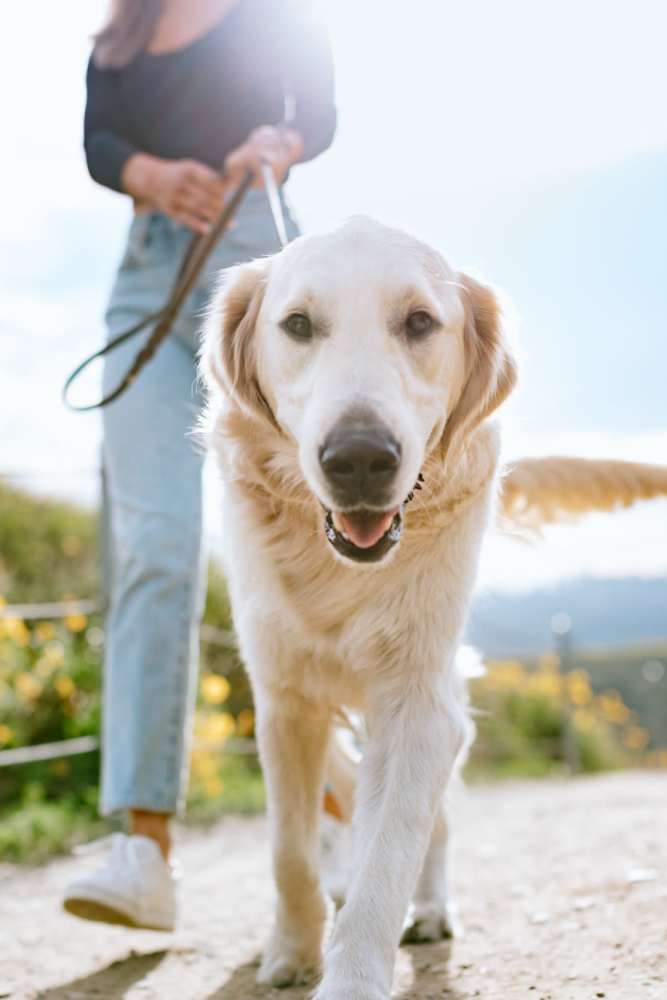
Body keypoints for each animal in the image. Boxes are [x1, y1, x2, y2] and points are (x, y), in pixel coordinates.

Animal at [202, 219, 667, 1000]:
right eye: (297, 325)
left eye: (419, 322)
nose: (359, 459)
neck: (339, 571)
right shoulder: (284, 701)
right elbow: (288, 850)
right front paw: (292, 950)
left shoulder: (420, 703)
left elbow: (388, 857)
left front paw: (352, 976)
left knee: (435, 825)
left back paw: (430, 909)